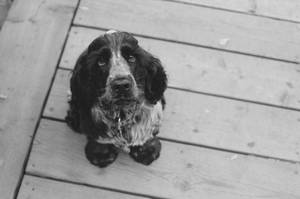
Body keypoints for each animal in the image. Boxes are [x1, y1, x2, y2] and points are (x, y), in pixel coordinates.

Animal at [65, 29, 168, 168]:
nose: (121, 85)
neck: (121, 113)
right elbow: (98, 137)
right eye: (101, 62)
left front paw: (146, 151)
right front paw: (101, 155)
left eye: (132, 58)